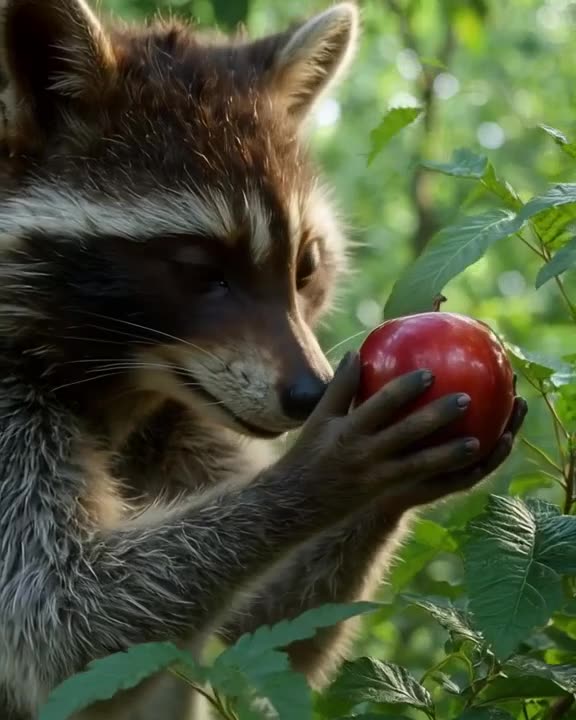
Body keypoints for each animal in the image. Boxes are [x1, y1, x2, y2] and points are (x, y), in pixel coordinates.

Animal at [0, 1, 525, 718]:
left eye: (304, 268)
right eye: (202, 272)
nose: (311, 395)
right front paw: (316, 475)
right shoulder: (5, 402)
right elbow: (61, 618)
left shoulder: (189, 413)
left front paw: (384, 496)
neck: (125, 383)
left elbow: (263, 622)